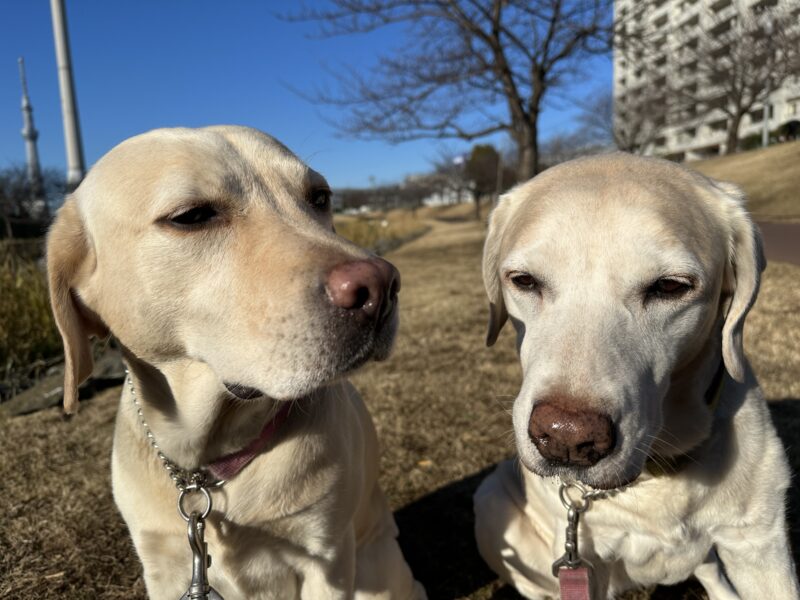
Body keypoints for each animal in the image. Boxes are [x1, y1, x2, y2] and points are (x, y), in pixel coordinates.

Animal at [46, 126, 424, 600]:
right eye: (191, 216)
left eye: (319, 197)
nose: (381, 287)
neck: (209, 459)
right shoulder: (164, 566)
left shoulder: (328, 558)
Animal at [472, 156, 796, 600]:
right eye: (523, 280)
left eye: (670, 287)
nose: (566, 438)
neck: (655, 473)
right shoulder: (584, 560)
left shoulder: (759, 542)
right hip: (490, 500)